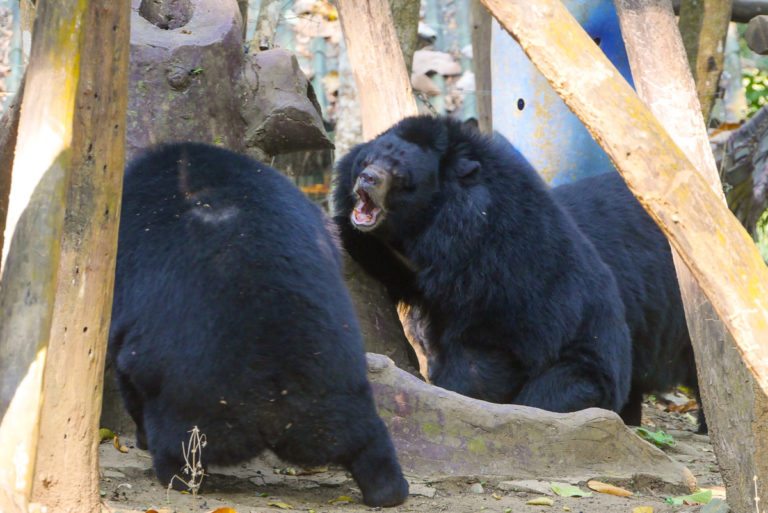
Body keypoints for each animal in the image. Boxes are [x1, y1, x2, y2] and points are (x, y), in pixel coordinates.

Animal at [109, 142, 408, 506]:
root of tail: (272, 405)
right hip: (336, 394)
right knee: (363, 435)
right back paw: (388, 489)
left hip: (190, 406)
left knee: (176, 442)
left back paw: (174, 474)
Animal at [332, 115, 632, 412]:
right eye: (367, 159)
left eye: (400, 175)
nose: (368, 178)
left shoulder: (499, 267)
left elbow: (488, 347)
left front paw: (459, 393)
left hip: (583, 369)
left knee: (551, 393)